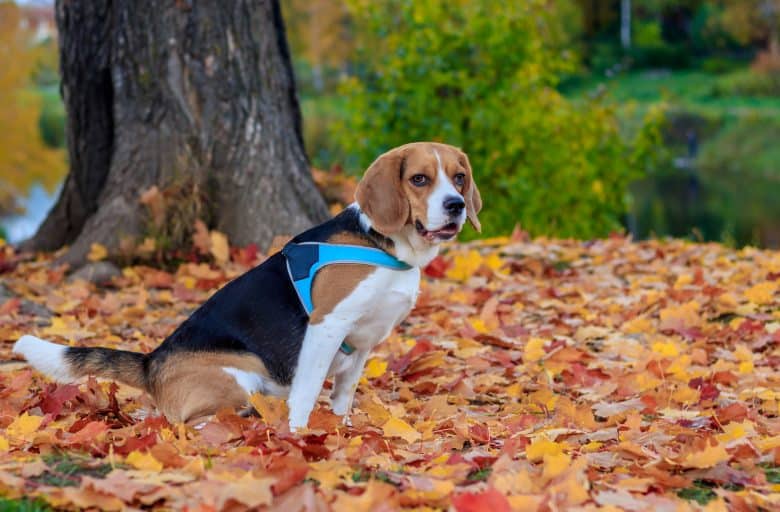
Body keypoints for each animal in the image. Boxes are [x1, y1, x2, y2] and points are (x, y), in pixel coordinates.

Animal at [13, 142, 482, 430]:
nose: (456, 205)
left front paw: (343, 430)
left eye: (459, 177)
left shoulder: (363, 343)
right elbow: (308, 391)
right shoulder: (328, 326)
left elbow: (343, 395)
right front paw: (301, 436)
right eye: (419, 179)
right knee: (188, 422)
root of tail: (151, 362)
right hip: (241, 376)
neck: (385, 244)